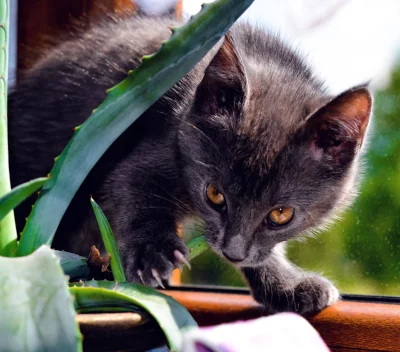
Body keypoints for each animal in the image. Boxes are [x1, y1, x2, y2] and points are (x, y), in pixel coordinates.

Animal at [8, 16, 372, 314]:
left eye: (281, 214)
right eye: (214, 195)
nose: (232, 253)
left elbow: (264, 249)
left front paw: (287, 285)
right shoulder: (163, 141)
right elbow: (130, 185)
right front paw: (153, 253)